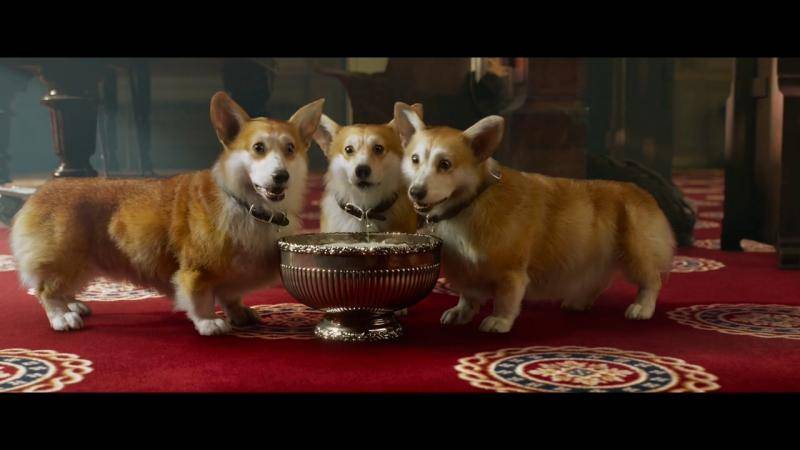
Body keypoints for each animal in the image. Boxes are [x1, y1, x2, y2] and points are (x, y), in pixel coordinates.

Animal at [8, 93, 322, 336]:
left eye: (290, 149)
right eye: (258, 148)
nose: (281, 176)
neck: (247, 205)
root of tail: (38, 193)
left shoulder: (234, 278)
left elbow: (232, 297)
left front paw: (241, 314)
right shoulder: (196, 270)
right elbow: (199, 299)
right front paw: (209, 323)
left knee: (59, 288)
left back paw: (73, 304)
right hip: (67, 259)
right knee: (46, 291)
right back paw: (63, 316)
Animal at [394, 103, 676, 334]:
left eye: (445, 164)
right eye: (415, 159)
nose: (416, 192)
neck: (469, 203)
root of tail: (642, 192)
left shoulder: (512, 271)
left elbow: (506, 298)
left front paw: (499, 321)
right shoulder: (468, 271)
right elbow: (468, 296)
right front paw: (460, 313)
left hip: (635, 253)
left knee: (652, 281)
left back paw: (641, 308)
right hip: (595, 257)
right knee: (598, 281)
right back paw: (578, 302)